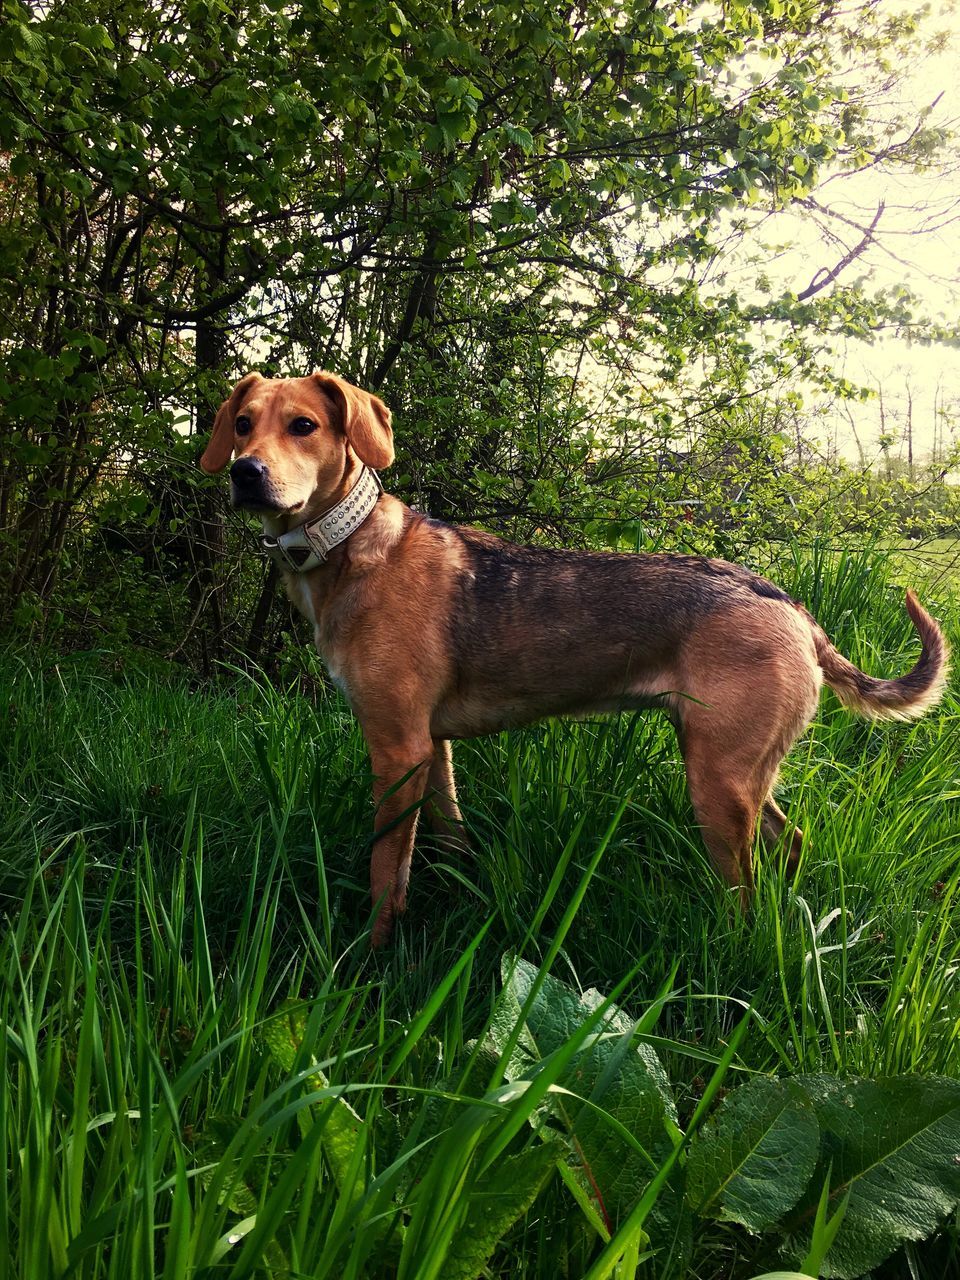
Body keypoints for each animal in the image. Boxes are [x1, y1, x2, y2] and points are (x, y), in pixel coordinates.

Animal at [200, 371, 947, 942]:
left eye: (303, 426)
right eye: (242, 424)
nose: (245, 473)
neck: (351, 547)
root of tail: (787, 603)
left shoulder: (395, 748)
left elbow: (389, 870)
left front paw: (372, 951)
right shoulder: (429, 747)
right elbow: (449, 835)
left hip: (719, 783)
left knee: (746, 891)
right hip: (737, 772)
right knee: (790, 844)